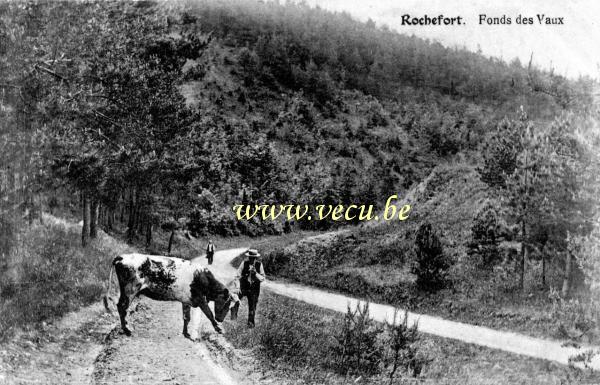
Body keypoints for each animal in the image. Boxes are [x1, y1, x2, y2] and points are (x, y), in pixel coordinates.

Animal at [104, 255, 238, 336]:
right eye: (227, 303)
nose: (221, 319)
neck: (203, 277)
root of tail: (123, 256)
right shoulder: (200, 299)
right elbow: (209, 314)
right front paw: (219, 328)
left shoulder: (187, 300)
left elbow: (186, 317)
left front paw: (186, 333)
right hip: (130, 289)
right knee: (122, 307)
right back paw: (127, 329)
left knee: (121, 307)